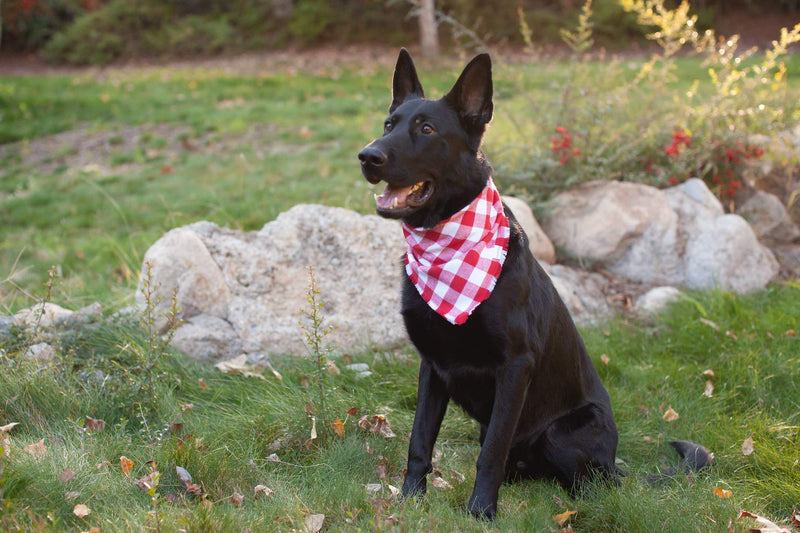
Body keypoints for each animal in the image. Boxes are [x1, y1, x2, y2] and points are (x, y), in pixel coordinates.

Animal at [360, 48, 704, 520]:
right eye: (388, 124)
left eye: (426, 129)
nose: (367, 156)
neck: (448, 247)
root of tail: (617, 465)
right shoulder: (432, 365)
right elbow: (419, 440)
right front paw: (411, 499)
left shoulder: (514, 367)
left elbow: (491, 452)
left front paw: (480, 513)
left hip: (564, 434)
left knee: (591, 485)